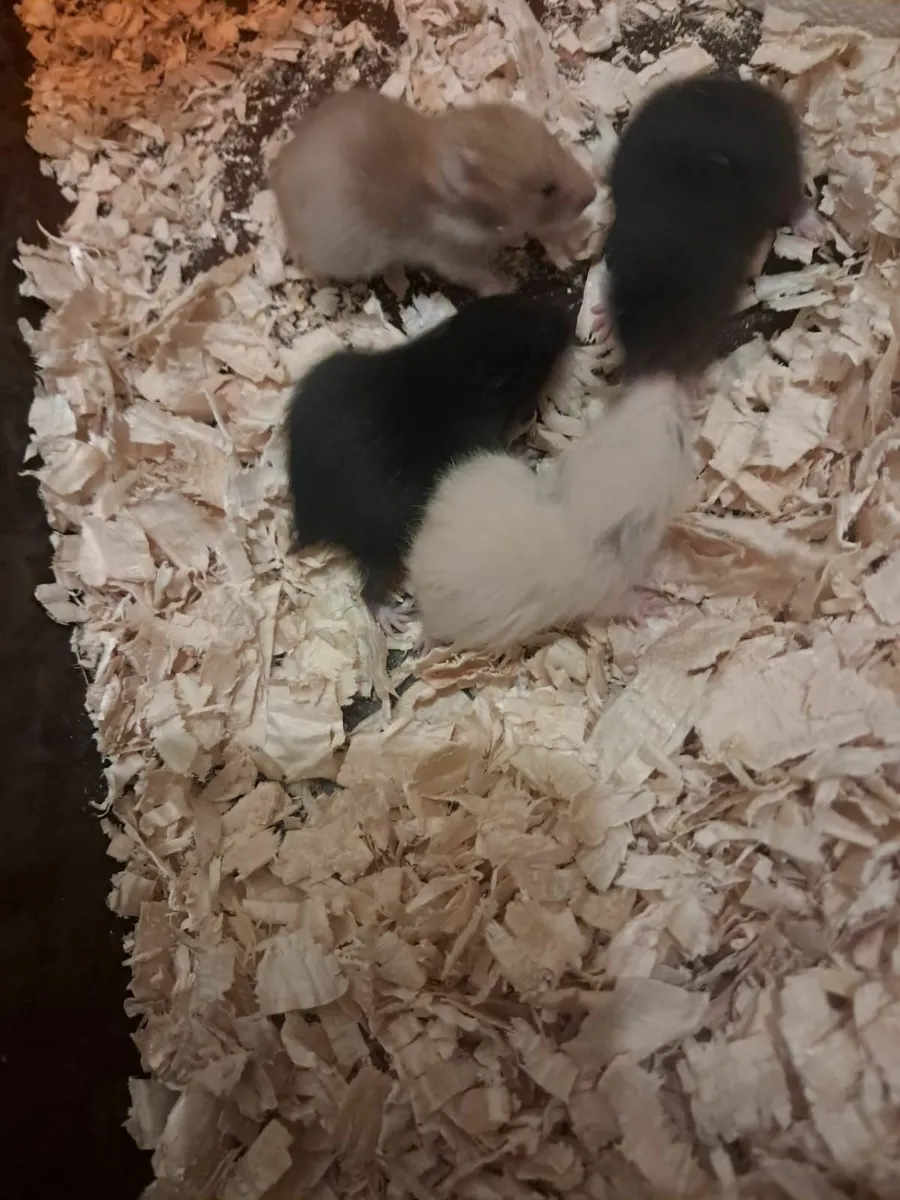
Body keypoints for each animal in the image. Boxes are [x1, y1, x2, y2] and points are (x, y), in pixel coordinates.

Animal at [270, 88, 597, 296]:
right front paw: (509, 284)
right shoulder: (451, 256)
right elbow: (478, 274)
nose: (593, 193)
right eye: (546, 190)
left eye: (556, 143)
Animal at [287, 294, 572, 631]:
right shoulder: (481, 435)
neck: (452, 366)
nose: (567, 319)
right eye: (531, 359)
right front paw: (528, 452)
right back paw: (394, 617)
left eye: (515, 301)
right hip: (387, 536)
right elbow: (502, 449)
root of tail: (308, 517)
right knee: (370, 588)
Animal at [407, 375, 693, 652]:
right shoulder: (605, 591)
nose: (668, 383)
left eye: (617, 412)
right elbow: (625, 603)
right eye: (679, 438)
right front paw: (655, 606)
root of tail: (416, 559)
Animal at [591, 73, 821, 377]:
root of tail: (762, 96)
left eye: (685, 320)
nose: (645, 368)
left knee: (794, 203)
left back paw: (815, 229)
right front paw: (600, 321)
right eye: (623, 312)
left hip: (779, 180)